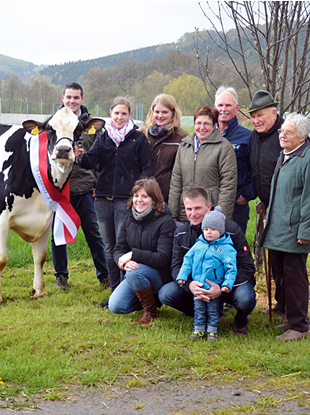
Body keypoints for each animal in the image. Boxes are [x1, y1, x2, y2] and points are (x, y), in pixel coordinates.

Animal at [0, 107, 104, 302]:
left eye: (79, 129)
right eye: (49, 129)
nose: (63, 150)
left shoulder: (45, 217)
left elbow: (40, 256)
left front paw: (39, 291)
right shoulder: (1, 217)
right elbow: (2, 259)